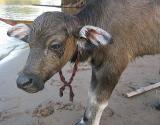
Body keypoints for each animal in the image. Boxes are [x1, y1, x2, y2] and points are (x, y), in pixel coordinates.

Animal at [7, 0, 160, 125]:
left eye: (55, 45)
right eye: (29, 43)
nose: (23, 82)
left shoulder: (113, 66)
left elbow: (98, 102)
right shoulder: (97, 66)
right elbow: (91, 97)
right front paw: (84, 120)